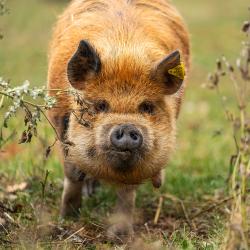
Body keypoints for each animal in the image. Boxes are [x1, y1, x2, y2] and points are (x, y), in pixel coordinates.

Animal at [47, 0, 189, 238]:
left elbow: (127, 192)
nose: (127, 127)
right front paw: (67, 219)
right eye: (101, 105)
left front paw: (119, 236)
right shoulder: (61, 122)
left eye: (147, 107)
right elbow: (72, 174)